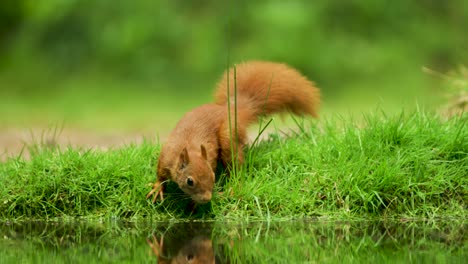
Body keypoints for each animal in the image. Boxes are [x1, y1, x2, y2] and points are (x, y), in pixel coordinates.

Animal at [146, 61, 320, 204]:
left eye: (213, 176)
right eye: (190, 181)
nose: (207, 198)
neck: (188, 148)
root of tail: (229, 110)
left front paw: (194, 205)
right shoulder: (166, 157)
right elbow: (160, 174)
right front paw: (158, 188)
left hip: (228, 135)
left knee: (236, 166)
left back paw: (232, 187)